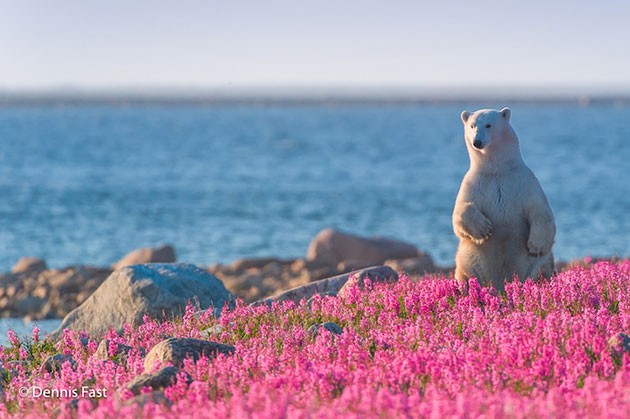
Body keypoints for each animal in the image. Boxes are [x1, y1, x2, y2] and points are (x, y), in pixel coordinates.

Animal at [454, 107, 556, 292]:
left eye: (488, 125)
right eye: (472, 125)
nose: (477, 142)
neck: (497, 169)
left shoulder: (524, 181)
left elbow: (540, 209)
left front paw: (535, 246)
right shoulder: (474, 182)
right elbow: (460, 212)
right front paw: (484, 229)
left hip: (535, 266)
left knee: (541, 270)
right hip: (468, 258)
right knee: (465, 273)